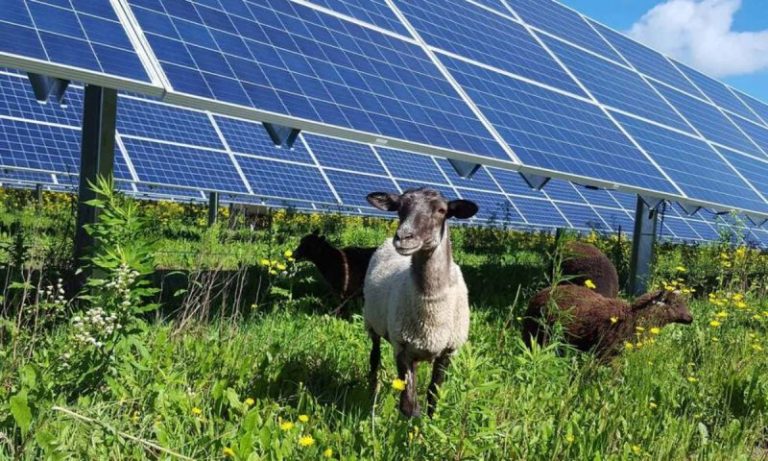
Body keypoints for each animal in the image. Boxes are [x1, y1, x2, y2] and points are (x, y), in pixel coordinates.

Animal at [364, 187, 476, 416]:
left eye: (442, 210)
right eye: (399, 207)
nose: (403, 237)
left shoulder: (447, 351)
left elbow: (434, 395)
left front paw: (431, 423)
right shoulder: (401, 347)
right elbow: (408, 406)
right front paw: (411, 424)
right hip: (372, 323)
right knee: (374, 357)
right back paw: (372, 390)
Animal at [524, 286, 692, 358]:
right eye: (674, 304)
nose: (691, 318)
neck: (632, 318)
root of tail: (536, 296)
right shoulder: (607, 354)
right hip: (537, 335)